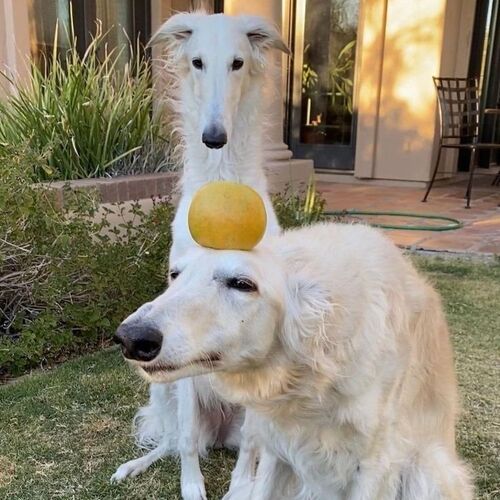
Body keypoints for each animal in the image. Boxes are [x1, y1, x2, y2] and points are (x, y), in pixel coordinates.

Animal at [111, 12, 288, 499]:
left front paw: (240, 489)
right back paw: (132, 465)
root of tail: (221, 431)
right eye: (197, 62)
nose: (214, 137)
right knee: (173, 439)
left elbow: (252, 449)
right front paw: (192, 488)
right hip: (163, 389)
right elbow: (188, 440)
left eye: (237, 63)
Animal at [115, 222, 473, 499]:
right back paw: (131, 467)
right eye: (175, 274)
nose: (129, 338)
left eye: (242, 283)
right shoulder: (279, 449)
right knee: (174, 441)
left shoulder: (374, 466)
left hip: (427, 470)